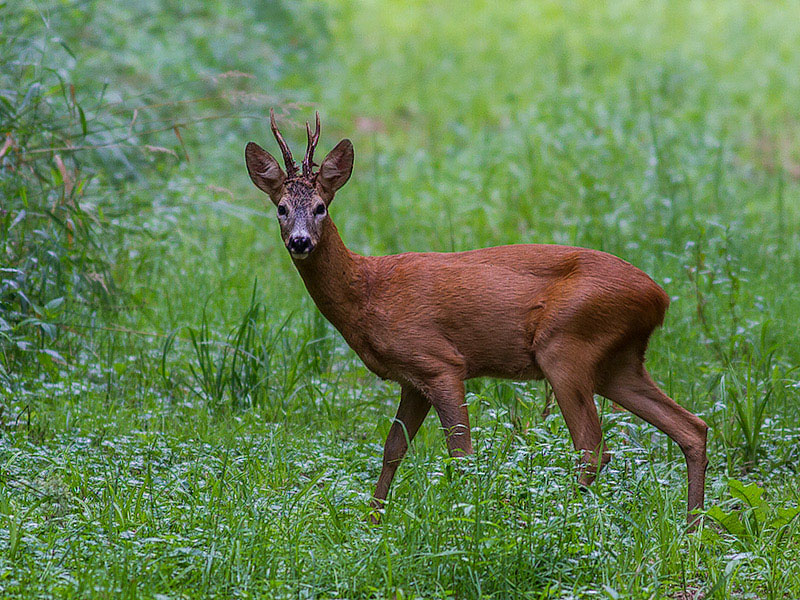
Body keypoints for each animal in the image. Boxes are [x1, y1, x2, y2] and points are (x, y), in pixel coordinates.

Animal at [244, 110, 708, 528]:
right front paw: (372, 523)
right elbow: (393, 449)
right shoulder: (411, 379)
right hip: (618, 362)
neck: (368, 291)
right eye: (281, 208)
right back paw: (693, 527)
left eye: (321, 207)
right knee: (692, 427)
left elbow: (461, 453)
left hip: (566, 346)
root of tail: (659, 297)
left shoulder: (441, 363)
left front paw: (468, 522)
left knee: (592, 446)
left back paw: (563, 520)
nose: (300, 242)